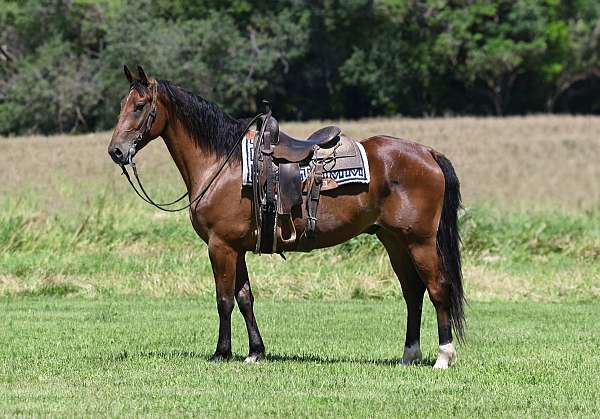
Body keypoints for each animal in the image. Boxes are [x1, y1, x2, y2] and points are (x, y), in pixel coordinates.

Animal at [106, 65, 464, 368]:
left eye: (140, 106)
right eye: (122, 103)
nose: (116, 151)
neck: (223, 163)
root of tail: (428, 153)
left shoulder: (220, 245)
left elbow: (224, 299)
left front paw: (222, 353)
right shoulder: (237, 248)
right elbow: (245, 298)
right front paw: (255, 352)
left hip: (419, 242)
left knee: (437, 288)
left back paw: (443, 356)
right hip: (394, 241)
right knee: (413, 292)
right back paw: (409, 355)